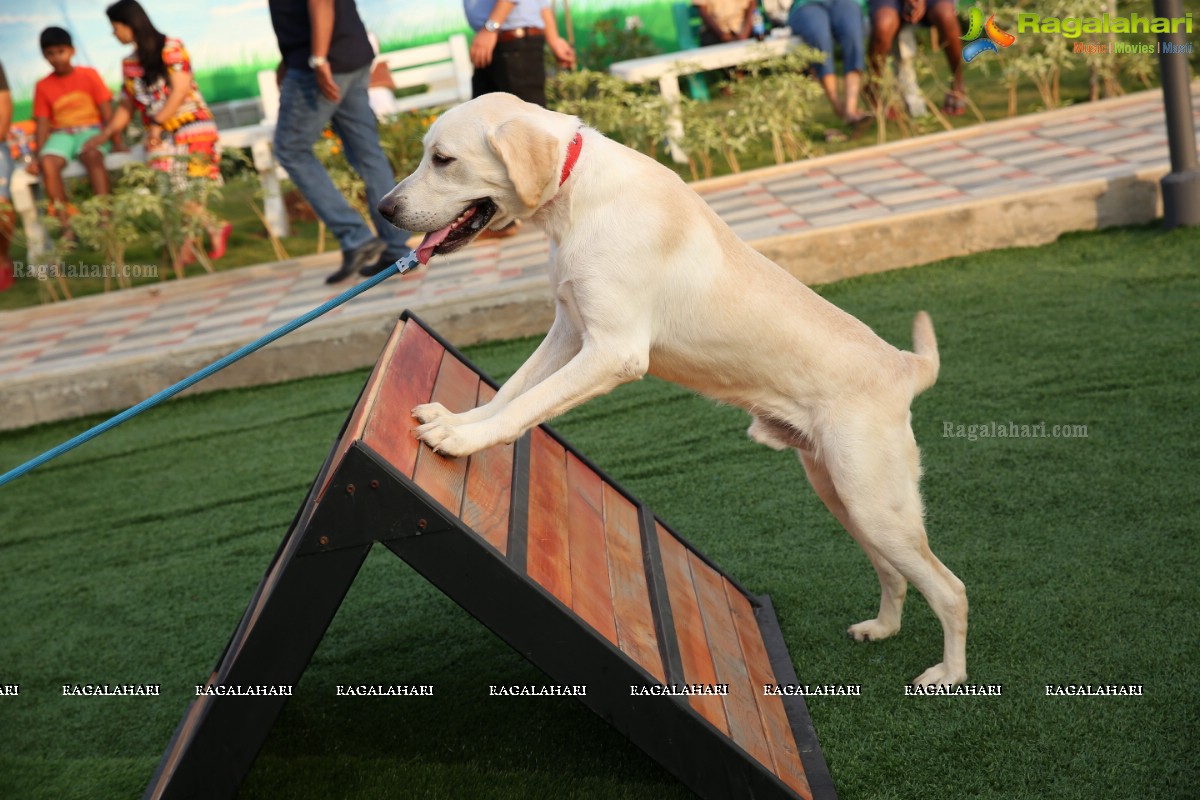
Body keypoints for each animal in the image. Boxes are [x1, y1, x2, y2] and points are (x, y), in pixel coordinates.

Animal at [379, 90, 969, 686]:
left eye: (443, 160)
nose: (384, 209)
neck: (578, 192)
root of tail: (903, 366)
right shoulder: (569, 330)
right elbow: (510, 392)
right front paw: (457, 421)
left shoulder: (612, 351)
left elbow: (525, 406)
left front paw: (464, 441)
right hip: (842, 496)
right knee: (895, 574)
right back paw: (882, 628)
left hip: (874, 503)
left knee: (952, 589)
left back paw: (949, 674)